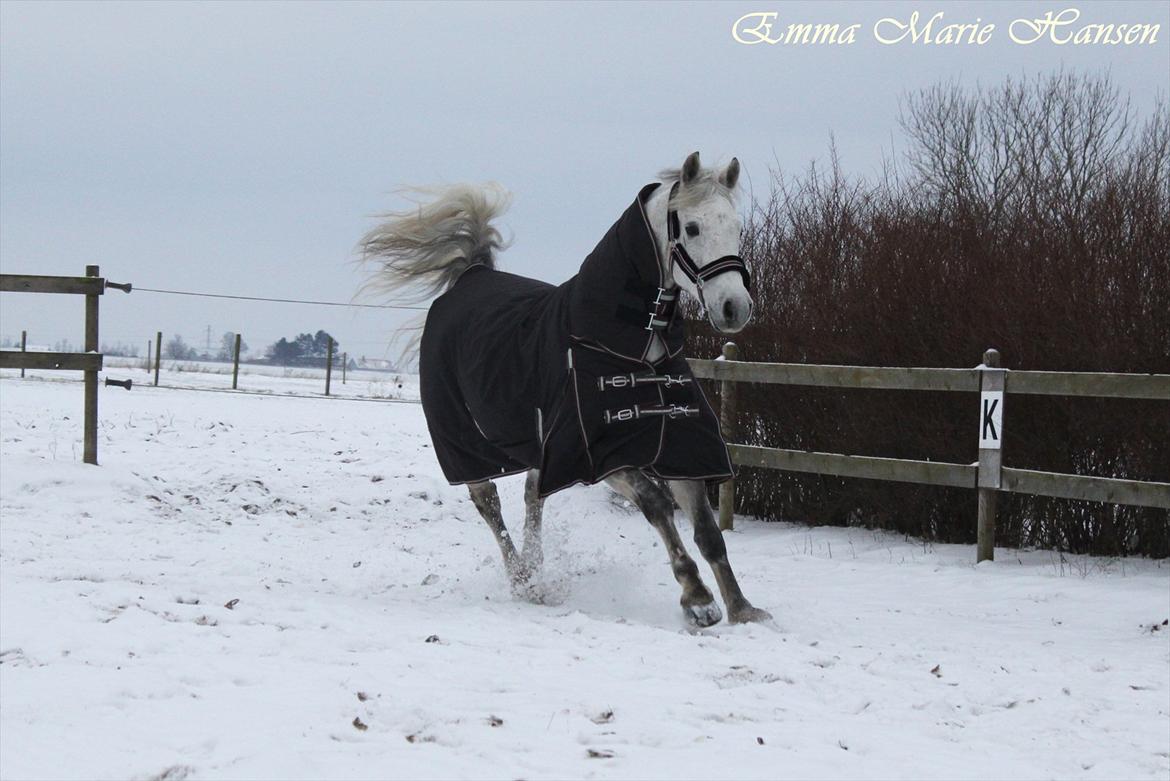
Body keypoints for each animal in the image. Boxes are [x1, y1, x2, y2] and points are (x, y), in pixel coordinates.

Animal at [360, 154, 772, 626]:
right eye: (691, 227)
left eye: (736, 226)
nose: (734, 308)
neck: (626, 349)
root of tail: (471, 276)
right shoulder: (602, 455)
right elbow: (655, 503)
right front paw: (697, 599)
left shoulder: (679, 448)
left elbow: (707, 531)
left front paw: (743, 609)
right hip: (464, 442)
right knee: (489, 504)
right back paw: (522, 579)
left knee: (531, 498)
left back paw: (535, 574)